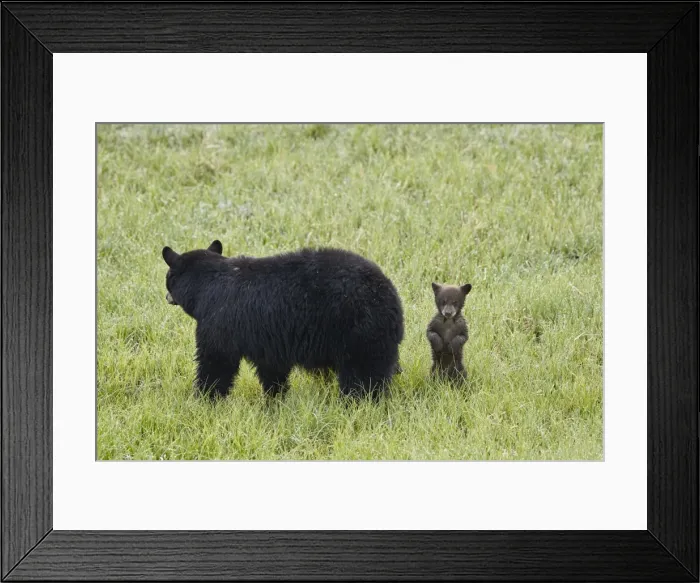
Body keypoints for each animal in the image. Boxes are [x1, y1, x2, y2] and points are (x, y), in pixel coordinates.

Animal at [162, 240, 404, 400]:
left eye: (167, 279)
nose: (166, 297)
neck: (207, 284)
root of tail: (391, 298)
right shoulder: (267, 338)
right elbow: (272, 368)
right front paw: (275, 398)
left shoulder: (219, 320)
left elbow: (216, 361)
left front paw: (204, 398)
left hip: (359, 331)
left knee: (363, 376)